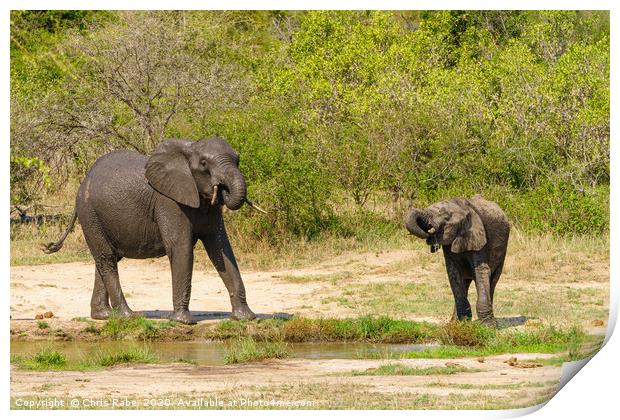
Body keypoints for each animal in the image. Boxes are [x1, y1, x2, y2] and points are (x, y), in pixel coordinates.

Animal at [43, 138, 266, 324]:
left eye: (238, 160)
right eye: (204, 164)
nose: (223, 189)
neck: (189, 148)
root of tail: (83, 183)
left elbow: (221, 248)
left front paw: (246, 318)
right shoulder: (168, 201)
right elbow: (180, 246)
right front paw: (182, 321)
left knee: (106, 259)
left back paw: (104, 316)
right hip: (89, 213)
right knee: (107, 259)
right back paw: (129, 316)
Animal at [406, 195, 508, 326]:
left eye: (446, 217)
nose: (429, 231)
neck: (464, 208)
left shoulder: (479, 237)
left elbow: (481, 271)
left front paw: (488, 327)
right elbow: (453, 273)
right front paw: (462, 324)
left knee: (492, 280)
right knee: (465, 283)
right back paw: (453, 323)